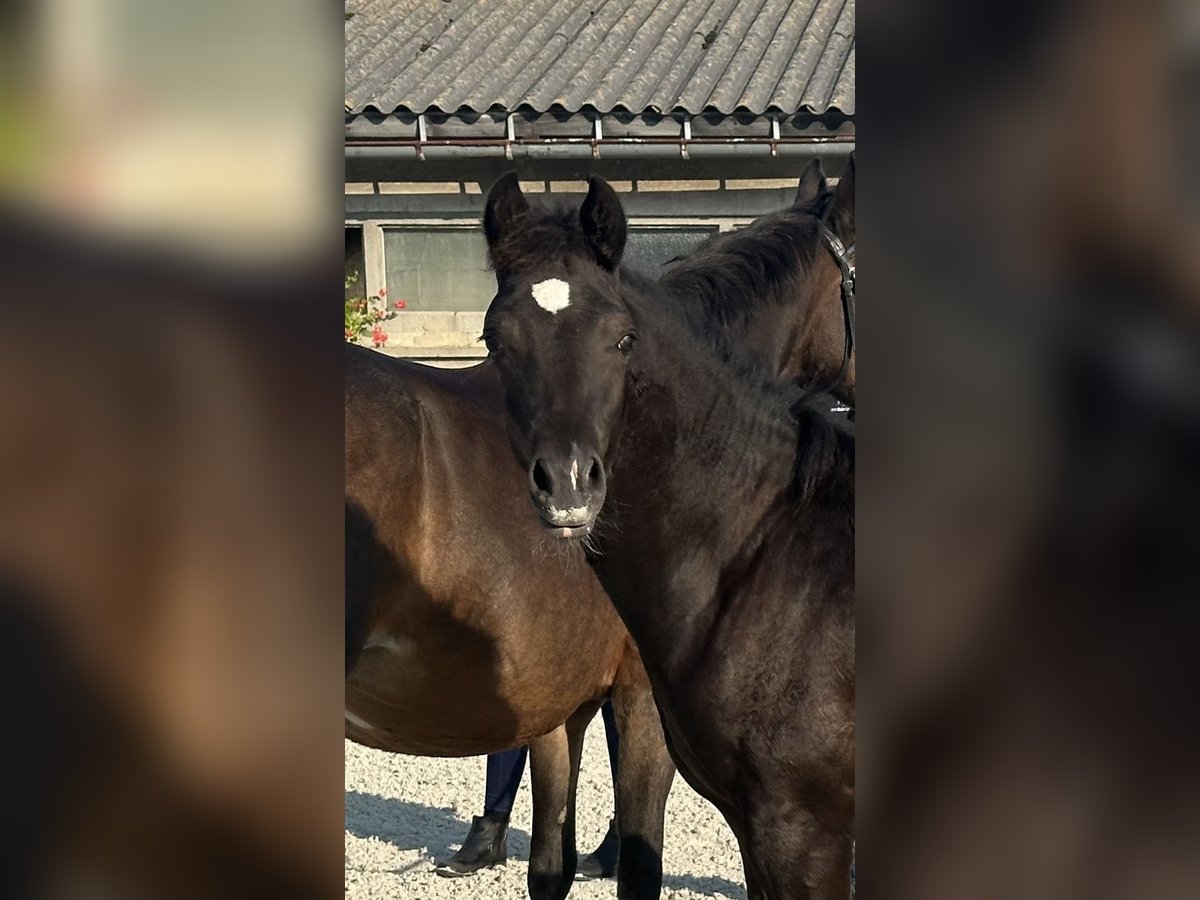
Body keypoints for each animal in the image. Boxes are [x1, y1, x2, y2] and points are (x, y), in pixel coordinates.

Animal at [343, 158, 859, 897]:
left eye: (622, 339)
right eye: (495, 340)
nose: (567, 484)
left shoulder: (561, 710)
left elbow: (552, 863)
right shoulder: (637, 699)